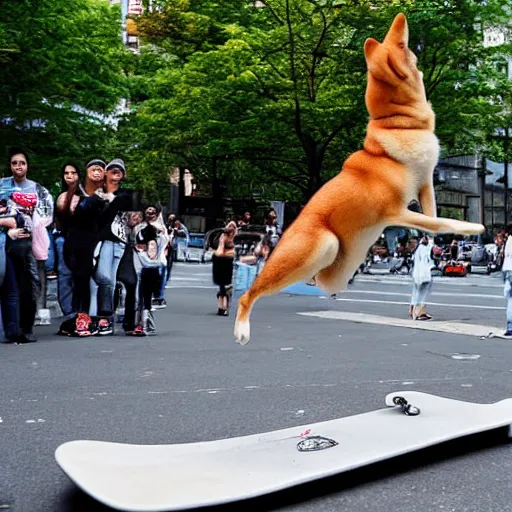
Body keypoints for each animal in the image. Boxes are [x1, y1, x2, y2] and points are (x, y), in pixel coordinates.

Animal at [234, 14, 486, 344]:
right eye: (403, 45)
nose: (402, 19)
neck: (396, 124)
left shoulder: (425, 183)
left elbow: (432, 217)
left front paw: (434, 247)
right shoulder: (397, 210)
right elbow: (440, 221)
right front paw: (472, 228)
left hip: (330, 271)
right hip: (321, 245)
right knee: (248, 294)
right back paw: (241, 328)